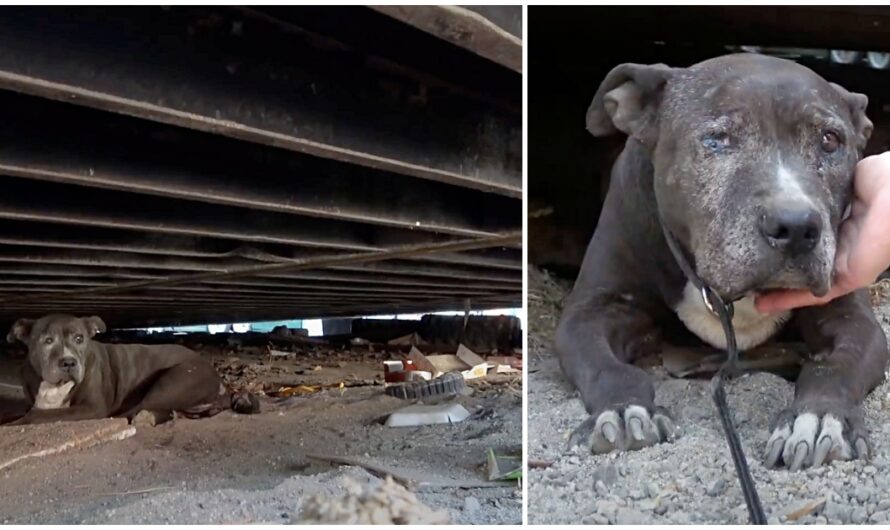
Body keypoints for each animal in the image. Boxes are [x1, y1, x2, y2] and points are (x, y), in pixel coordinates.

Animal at [3, 312, 258, 422]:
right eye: (47, 341)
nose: (68, 362)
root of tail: (219, 380)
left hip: (173, 381)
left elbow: (35, 415)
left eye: (79, 338)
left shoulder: (91, 407)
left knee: (142, 407)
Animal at [556, 51, 888, 468]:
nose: (796, 225)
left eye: (830, 140)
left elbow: (835, 366)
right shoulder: (593, 310)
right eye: (717, 139)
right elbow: (606, 367)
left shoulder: (849, 317)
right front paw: (622, 408)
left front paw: (818, 417)